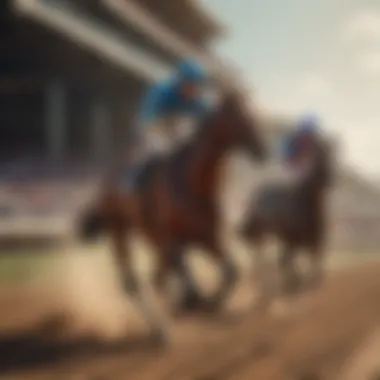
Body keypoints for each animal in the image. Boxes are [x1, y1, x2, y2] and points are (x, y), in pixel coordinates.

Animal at [77, 89, 268, 344]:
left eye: (251, 109)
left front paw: (210, 304)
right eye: (236, 114)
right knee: (133, 282)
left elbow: (231, 271)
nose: (262, 149)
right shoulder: (171, 238)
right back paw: (161, 328)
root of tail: (106, 179)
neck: (193, 183)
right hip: (119, 231)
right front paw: (192, 302)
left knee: (157, 277)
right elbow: (188, 278)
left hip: (149, 236)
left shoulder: (208, 238)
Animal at [239, 136, 334, 296]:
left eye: (329, 156)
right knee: (260, 253)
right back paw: (257, 280)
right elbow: (288, 261)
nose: (328, 179)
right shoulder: (291, 241)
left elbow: (312, 263)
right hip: (263, 233)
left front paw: (309, 282)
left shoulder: (313, 242)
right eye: (316, 156)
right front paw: (294, 284)